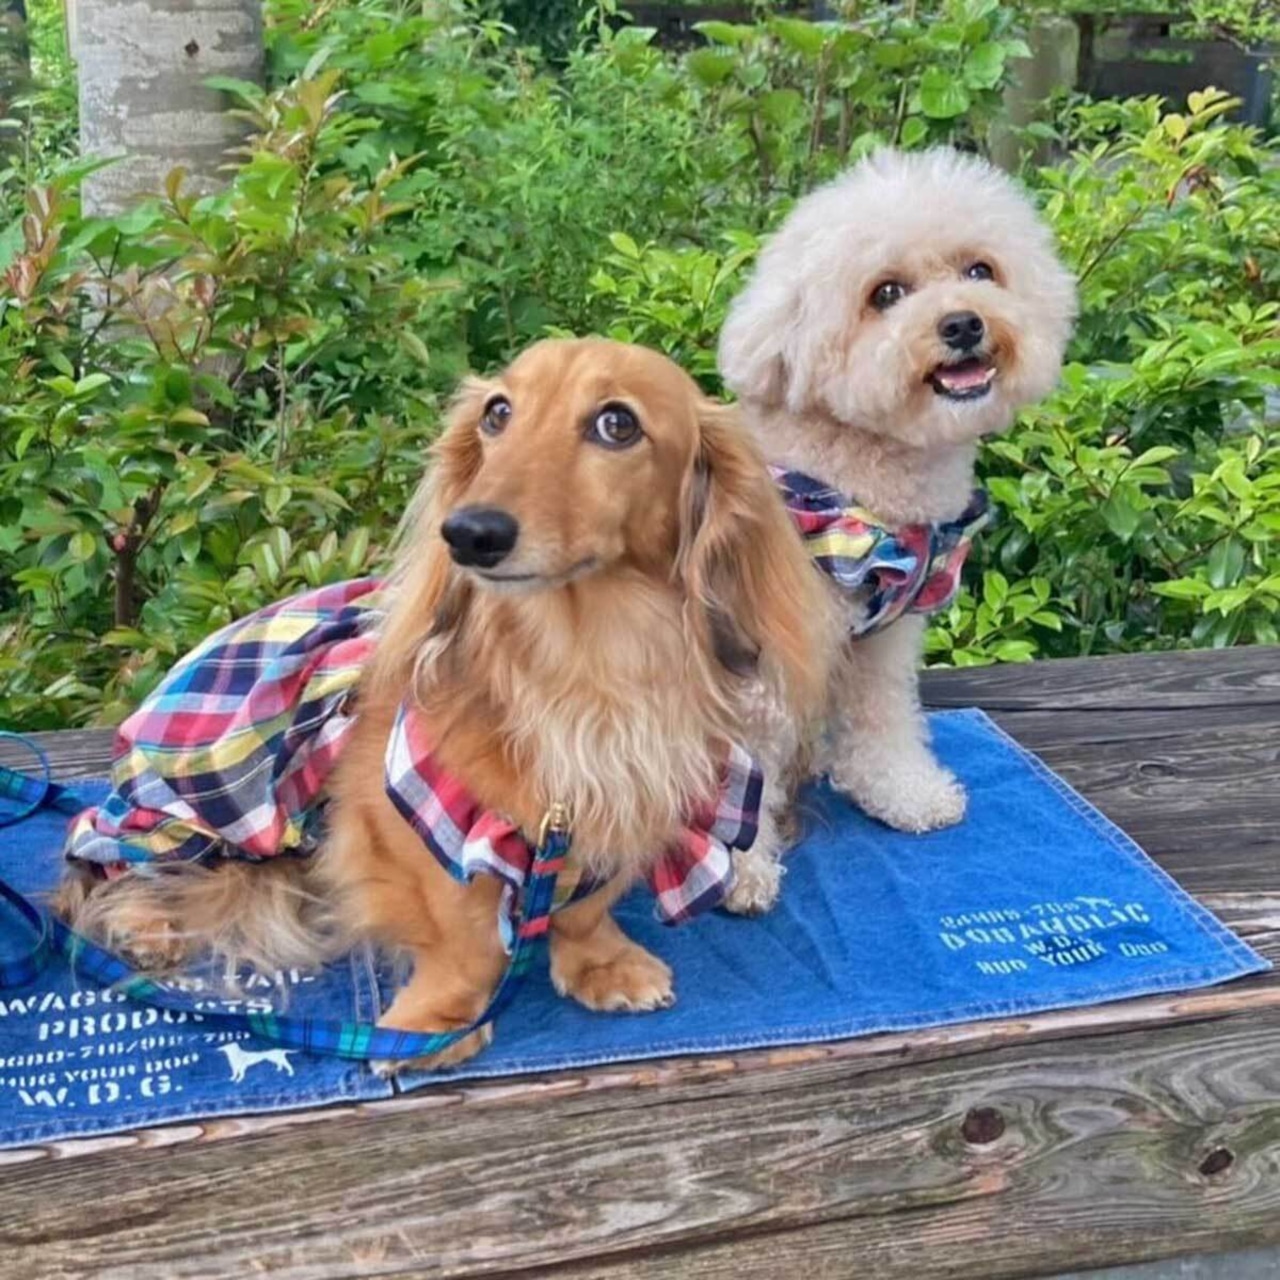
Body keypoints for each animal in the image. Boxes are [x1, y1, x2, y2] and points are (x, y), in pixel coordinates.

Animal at [55, 338, 828, 1070]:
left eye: (618, 424)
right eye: (498, 413)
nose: (469, 533)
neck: (584, 667)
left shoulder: (615, 804)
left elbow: (585, 906)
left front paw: (600, 964)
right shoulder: (404, 811)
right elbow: (461, 933)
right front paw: (438, 1020)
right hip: (195, 809)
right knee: (103, 861)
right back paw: (147, 924)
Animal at [717, 148, 1076, 912]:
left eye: (981, 271)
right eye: (885, 293)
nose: (963, 324)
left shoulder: (881, 640)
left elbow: (883, 720)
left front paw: (905, 792)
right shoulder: (755, 663)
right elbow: (741, 769)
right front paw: (738, 869)